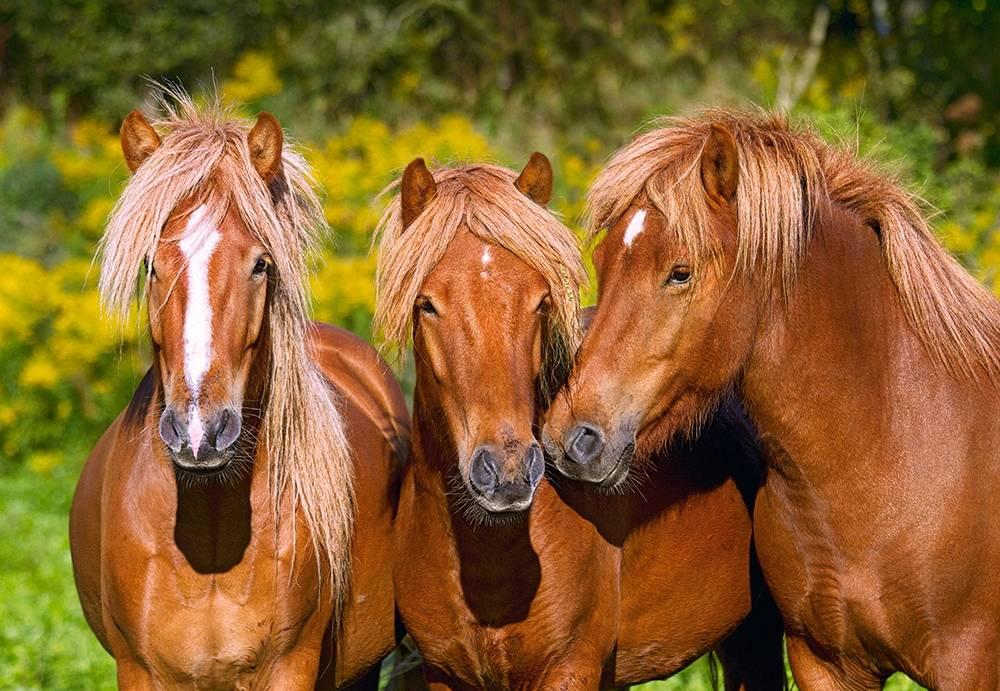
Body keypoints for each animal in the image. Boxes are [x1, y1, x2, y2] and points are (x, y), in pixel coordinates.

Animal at [69, 93, 410, 691]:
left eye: (260, 264)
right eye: (150, 263)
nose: (199, 433)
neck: (209, 544)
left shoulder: (289, 668)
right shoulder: (139, 671)